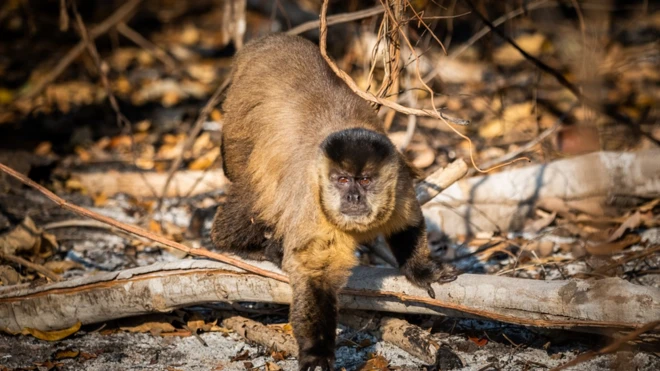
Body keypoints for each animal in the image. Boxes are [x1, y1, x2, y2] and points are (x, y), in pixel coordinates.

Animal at [210, 34, 454, 371]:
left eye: (365, 180)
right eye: (342, 180)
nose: (353, 196)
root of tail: (269, 41)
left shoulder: (399, 182)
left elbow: (408, 222)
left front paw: (420, 270)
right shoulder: (314, 204)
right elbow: (315, 275)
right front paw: (316, 351)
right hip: (237, 127)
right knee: (256, 194)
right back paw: (242, 244)